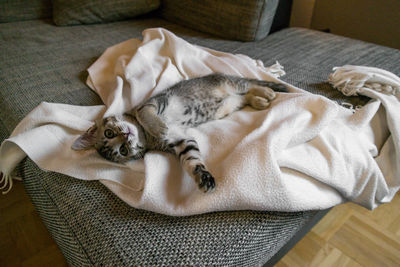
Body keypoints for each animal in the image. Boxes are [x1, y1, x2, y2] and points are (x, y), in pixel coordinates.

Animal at [71, 74, 288, 193]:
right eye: (123, 151)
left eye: (109, 133)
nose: (126, 136)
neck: (145, 135)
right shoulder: (180, 141)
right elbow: (192, 160)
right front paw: (203, 177)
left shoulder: (151, 104)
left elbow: (145, 115)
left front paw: (158, 126)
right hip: (229, 105)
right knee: (244, 96)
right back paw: (260, 100)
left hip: (231, 84)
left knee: (249, 85)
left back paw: (267, 92)